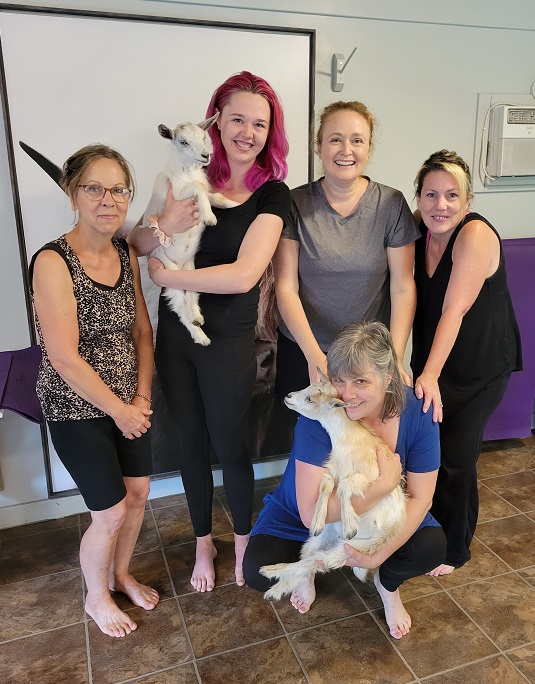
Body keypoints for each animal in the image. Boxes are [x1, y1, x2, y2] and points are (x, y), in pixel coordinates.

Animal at [146, 115, 238, 348]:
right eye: (183, 141)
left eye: (204, 137)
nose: (206, 155)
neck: (186, 173)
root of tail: (179, 264)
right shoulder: (177, 197)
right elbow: (198, 188)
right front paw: (209, 217)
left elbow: (213, 194)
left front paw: (233, 203)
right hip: (167, 268)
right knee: (178, 303)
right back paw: (199, 333)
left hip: (190, 269)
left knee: (192, 294)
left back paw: (198, 320)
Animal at [260, 382, 406, 600]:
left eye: (310, 399)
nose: (288, 396)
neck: (348, 439)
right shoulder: (334, 472)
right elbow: (327, 484)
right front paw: (317, 522)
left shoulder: (371, 476)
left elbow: (344, 486)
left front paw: (349, 526)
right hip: (317, 543)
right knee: (310, 562)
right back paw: (275, 580)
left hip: (353, 548)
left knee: (316, 563)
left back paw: (273, 581)